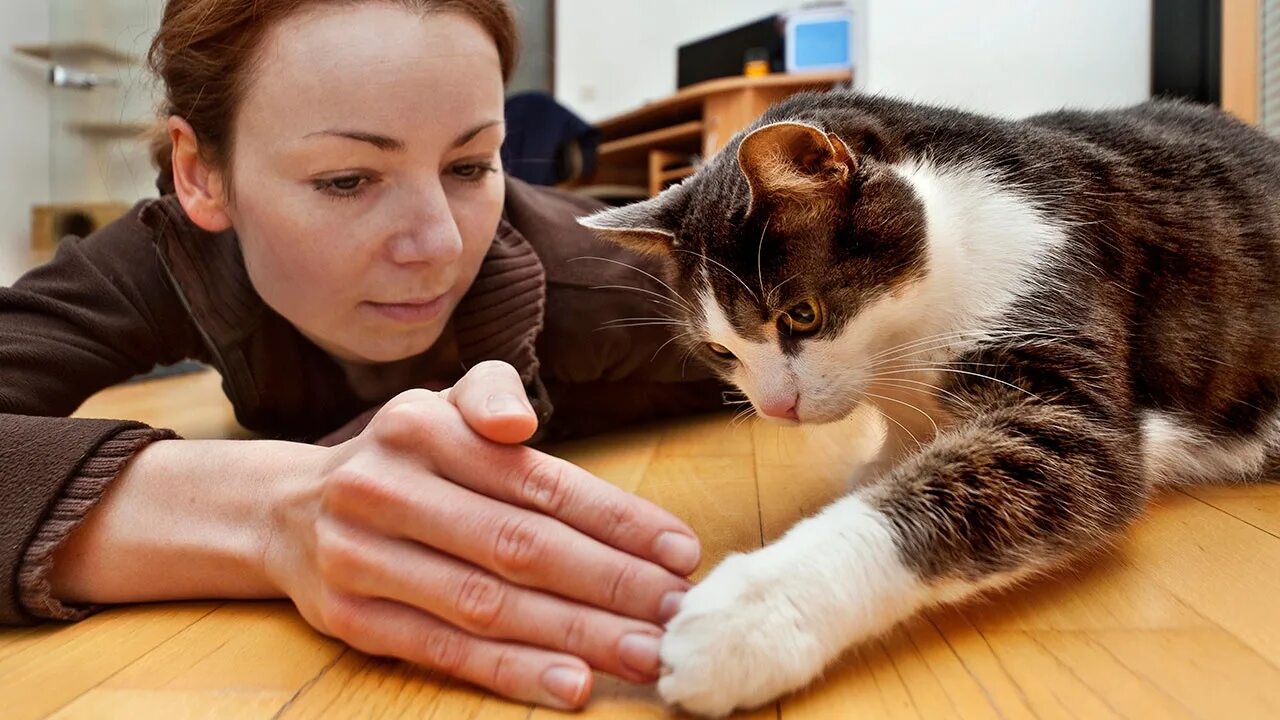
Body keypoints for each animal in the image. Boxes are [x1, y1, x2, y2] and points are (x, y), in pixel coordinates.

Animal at [578, 92, 1280, 712]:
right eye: (720, 350)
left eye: (802, 315)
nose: (777, 408)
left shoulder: (1052, 293)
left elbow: (1058, 458)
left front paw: (752, 614)